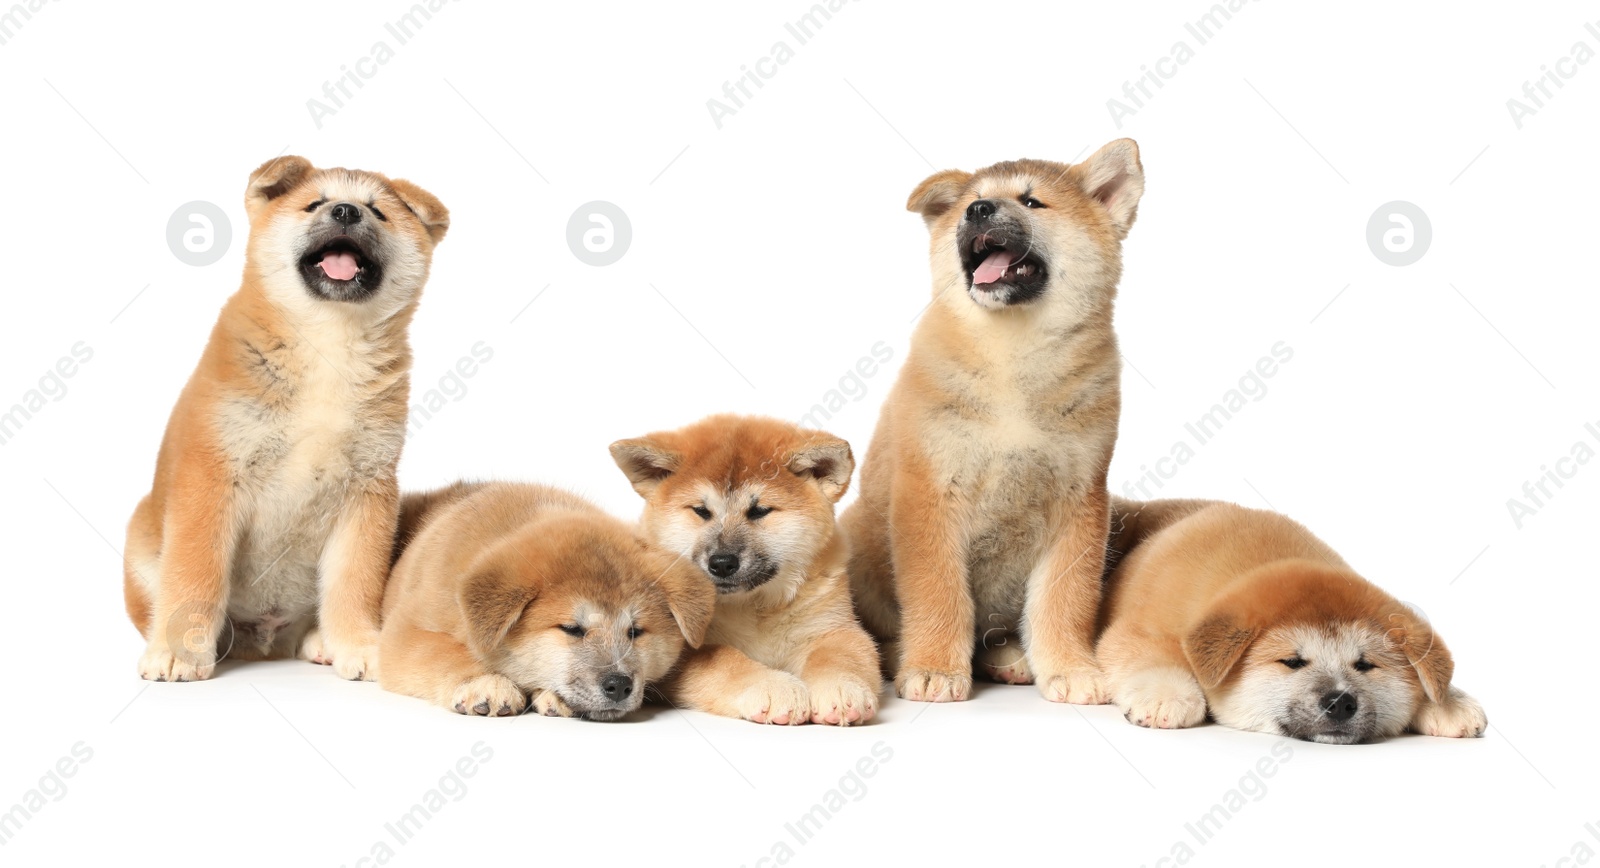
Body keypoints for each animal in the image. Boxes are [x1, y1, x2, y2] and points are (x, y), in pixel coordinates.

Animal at [120, 158, 448, 688]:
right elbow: (196, 572)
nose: (346, 210)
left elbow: (356, 582)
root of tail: (265, 641)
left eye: (378, 211)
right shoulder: (212, 474)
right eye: (314, 204)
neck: (328, 344)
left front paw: (359, 646)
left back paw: (321, 643)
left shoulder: (367, 489)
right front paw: (178, 652)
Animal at [377, 483, 710, 720]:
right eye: (572, 629)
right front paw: (485, 682)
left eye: (635, 632)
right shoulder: (404, 632)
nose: (618, 685)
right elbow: (445, 651)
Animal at [611, 416, 889, 727]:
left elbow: (840, 656)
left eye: (760, 511)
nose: (721, 562)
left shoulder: (834, 627)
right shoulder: (676, 649)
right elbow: (725, 660)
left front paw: (841, 688)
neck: (753, 608)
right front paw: (773, 686)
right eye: (701, 511)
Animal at [844, 139, 1145, 704]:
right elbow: (939, 594)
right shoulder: (930, 491)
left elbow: (1065, 601)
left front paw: (1070, 668)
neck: (1013, 353)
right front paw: (935, 668)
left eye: (1031, 202)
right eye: (973, 201)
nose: (977, 210)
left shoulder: (1080, 500)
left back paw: (1010, 659)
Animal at [1100, 499, 1484, 746]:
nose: (1340, 702)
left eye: (1364, 665)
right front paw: (1168, 695)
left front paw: (1447, 702)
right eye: (1292, 662)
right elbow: (1153, 652)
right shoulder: (1134, 630)